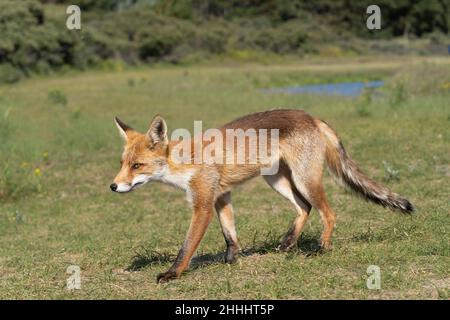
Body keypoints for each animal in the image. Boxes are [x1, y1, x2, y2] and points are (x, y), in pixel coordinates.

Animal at [110, 108, 414, 282]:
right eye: (122, 163)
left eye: (137, 166)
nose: (113, 187)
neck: (185, 161)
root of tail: (311, 116)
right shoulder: (222, 196)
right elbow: (230, 234)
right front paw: (231, 260)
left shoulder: (203, 204)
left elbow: (186, 247)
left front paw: (173, 274)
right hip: (277, 181)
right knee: (304, 208)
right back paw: (288, 243)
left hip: (305, 180)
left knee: (328, 212)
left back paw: (321, 248)